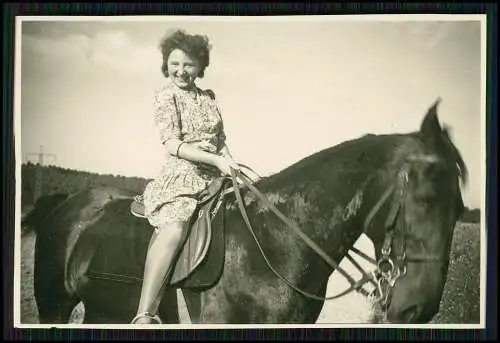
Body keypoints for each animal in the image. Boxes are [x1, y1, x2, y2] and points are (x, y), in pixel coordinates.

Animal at [25, 99, 466, 326]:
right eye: (426, 199)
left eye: (461, 209)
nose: (419, 309)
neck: (274, 245)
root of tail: (66, 204)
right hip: (54, 305)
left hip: (103, 309)